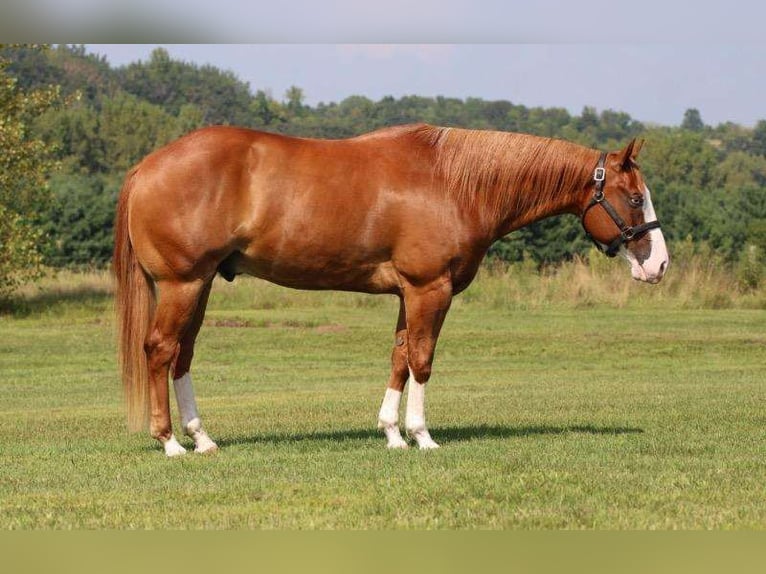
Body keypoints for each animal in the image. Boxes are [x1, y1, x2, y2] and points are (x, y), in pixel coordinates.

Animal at [111, 124, 668, 456]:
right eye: (635, 198)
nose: (659, 265)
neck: (453, 183)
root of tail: (147, 166)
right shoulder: (430, 289)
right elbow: (422, 359)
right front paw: (422, 437)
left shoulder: (409, 294)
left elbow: (399, 357)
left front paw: (392, 434)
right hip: (182, 284)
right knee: (160, 350)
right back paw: (170, 443)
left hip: (201, 285)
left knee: (182, 355)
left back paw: (202, 438)